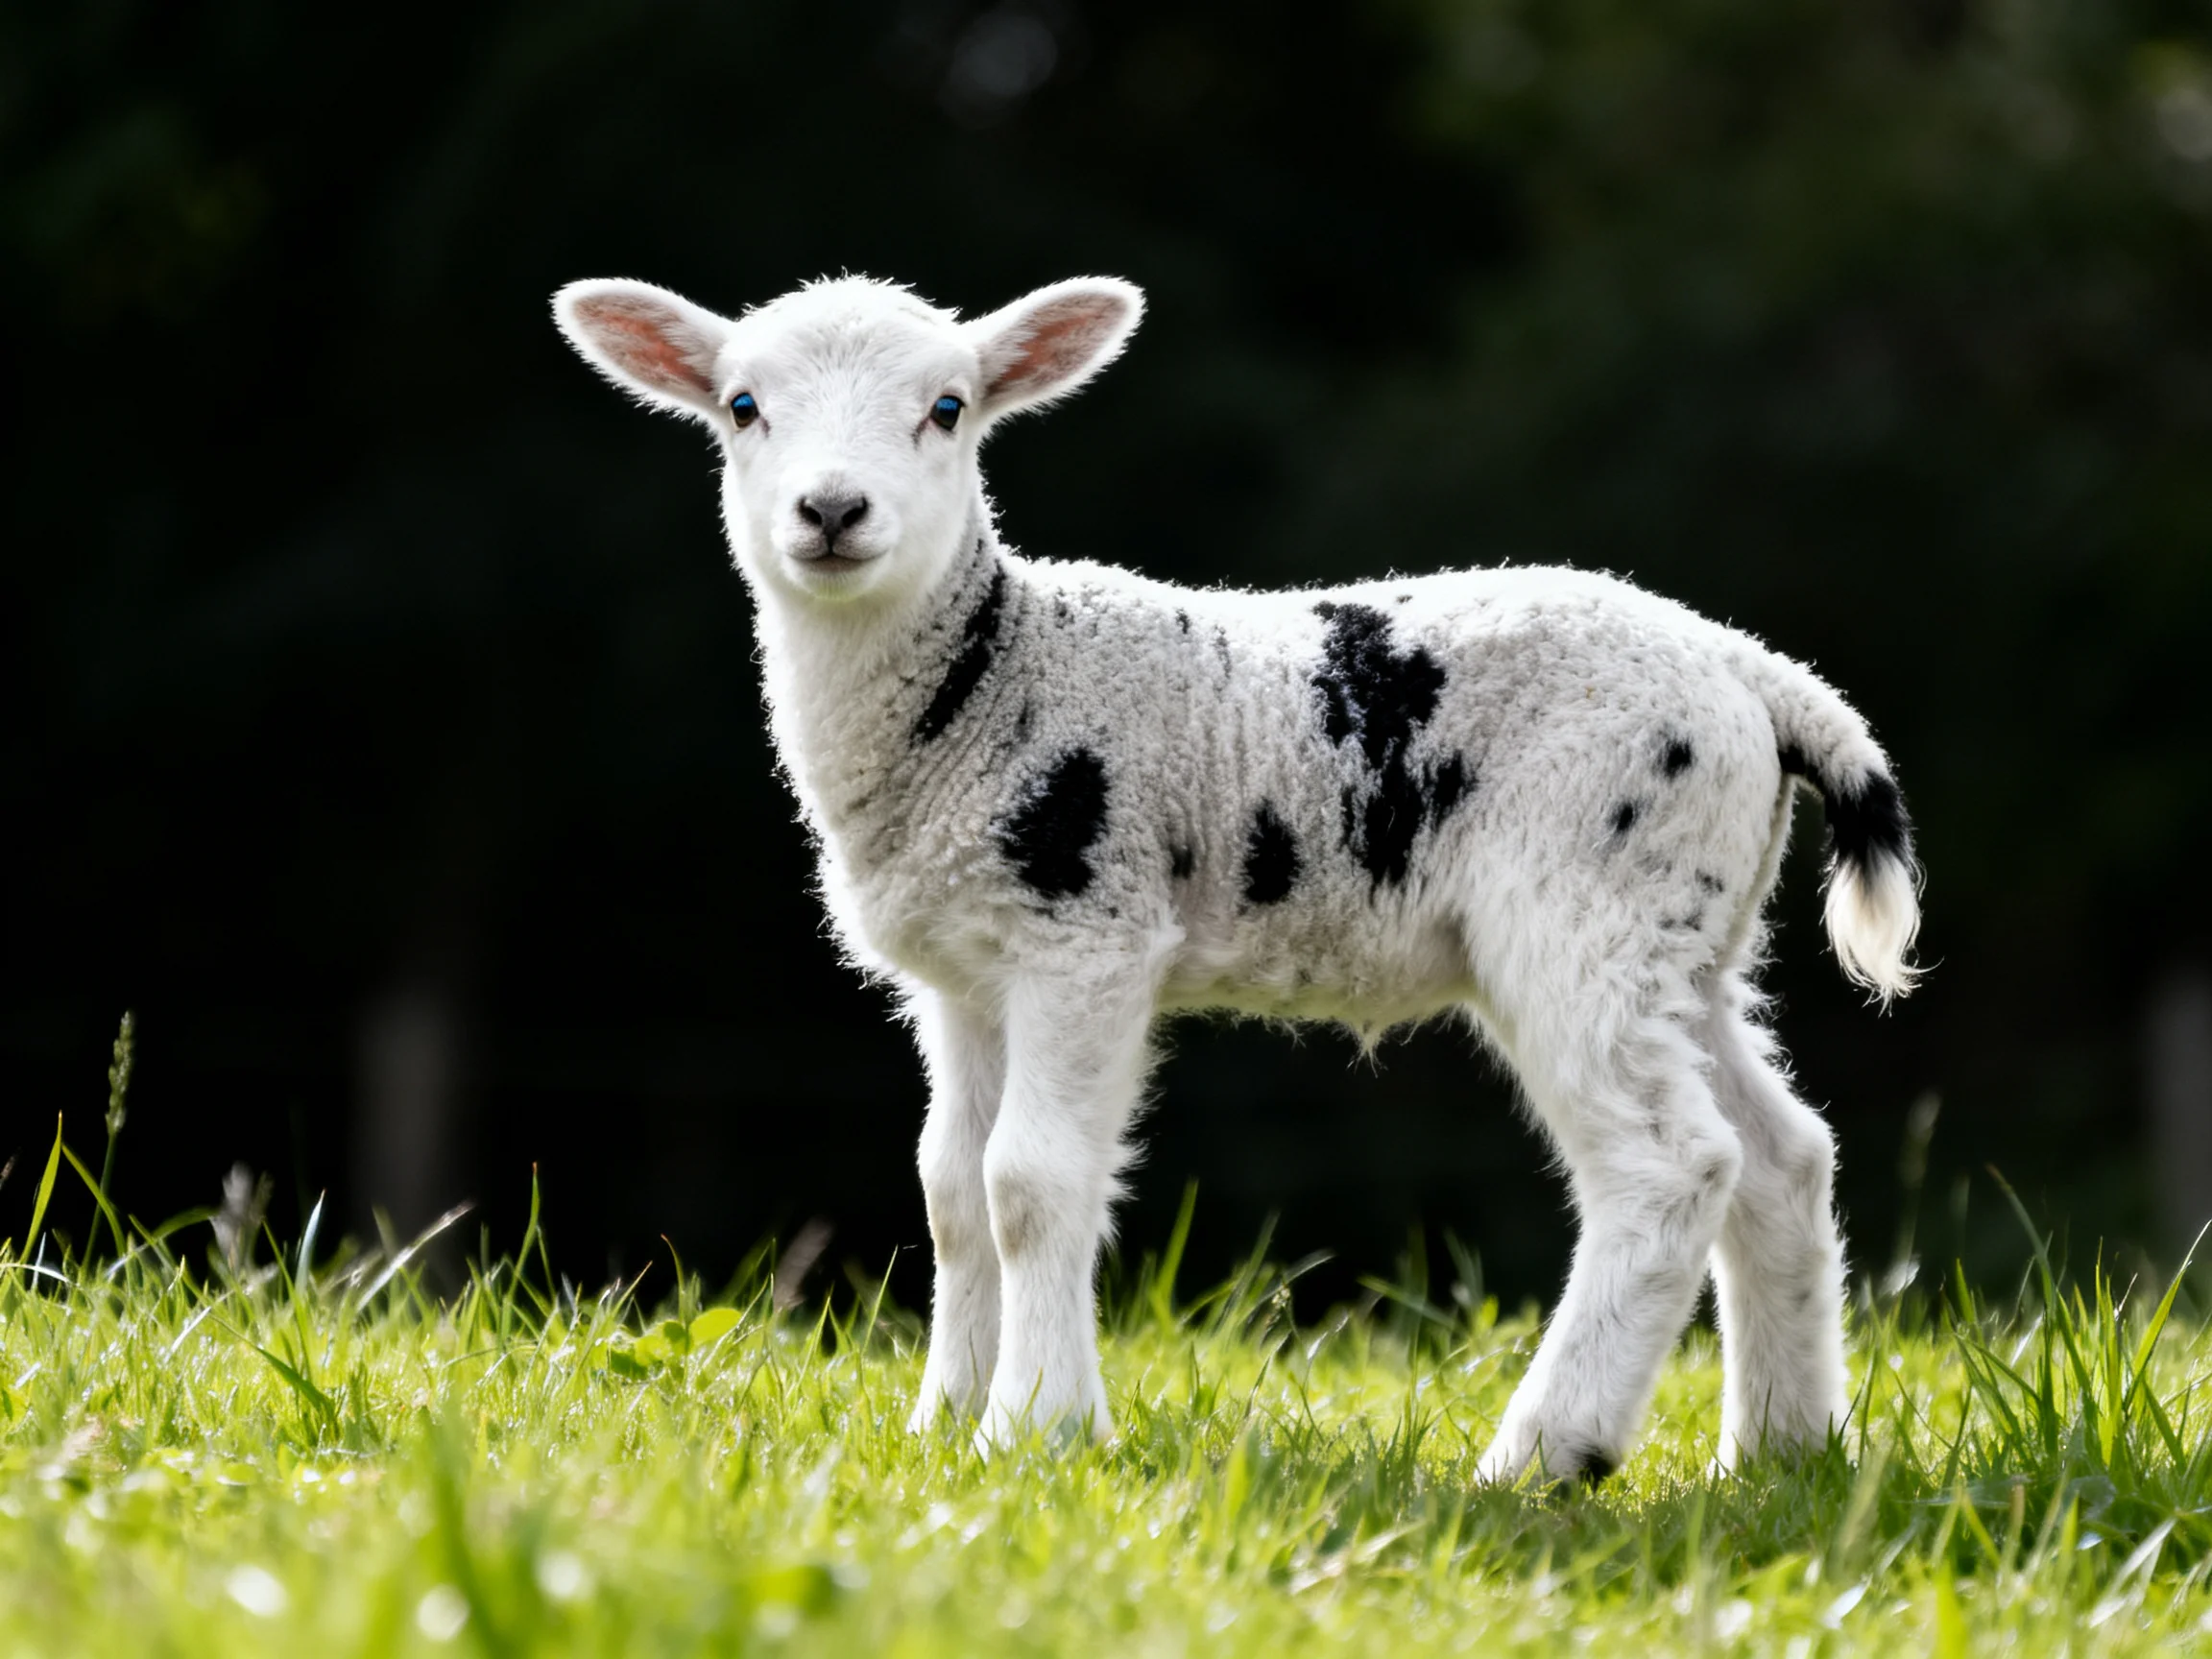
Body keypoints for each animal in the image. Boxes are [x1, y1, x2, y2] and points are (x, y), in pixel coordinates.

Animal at [552, 272, 1922, 1484]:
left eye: (947, 407)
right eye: (742, 405)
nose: (832, 512)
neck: (988, 678)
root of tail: (1753, 674)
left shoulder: (1084, 933)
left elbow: (1028, 1183)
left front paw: (1034, 1433)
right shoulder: (965, 972)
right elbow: (949, 1186)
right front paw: (944, 1424)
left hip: (1588, 896)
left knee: (1669, 1165)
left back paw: (1545, 1456)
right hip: (1687, 930)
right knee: (1783, 1156)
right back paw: (1783, 1453)